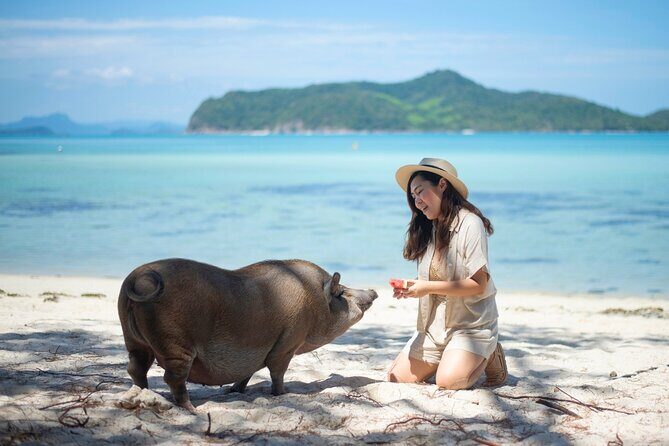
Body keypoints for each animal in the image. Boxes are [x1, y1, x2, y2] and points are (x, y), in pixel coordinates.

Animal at [117, 258, 378, 413]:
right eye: (341, 293)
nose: (374, 291)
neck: (314, 301)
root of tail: (137, 278)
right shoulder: (288, 342)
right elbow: (277, 370)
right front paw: (284, 394)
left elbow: (248, 372)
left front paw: (234, 391)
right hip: (174, 342)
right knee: (172, 377)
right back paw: (193, 410)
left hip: (134, 340)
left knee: (135, 368)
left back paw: (142, 393)